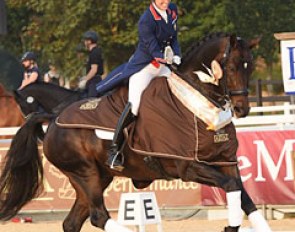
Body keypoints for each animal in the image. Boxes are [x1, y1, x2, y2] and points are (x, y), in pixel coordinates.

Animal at [0, 33, 272, 232]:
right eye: (232, 67)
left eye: (249, 67)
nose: (242, 108)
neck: (195, 100)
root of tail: (54, 119)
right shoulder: (189, 167)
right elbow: (231, 187)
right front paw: (231, 226)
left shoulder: (225, 161)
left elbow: (242, 195)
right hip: (84, 173)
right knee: (98, 216)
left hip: (95, 177)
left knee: (72, 222)